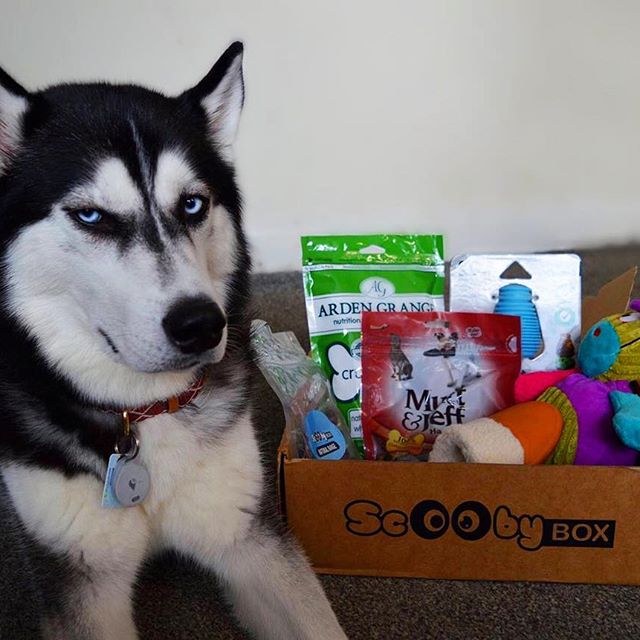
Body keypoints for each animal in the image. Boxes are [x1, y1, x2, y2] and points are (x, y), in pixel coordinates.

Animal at [0, 42, 347, 639]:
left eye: (191, 204)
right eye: (90, 215)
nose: (201, 324)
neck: (139, 413)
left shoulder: (245, 534)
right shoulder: (82, 582)